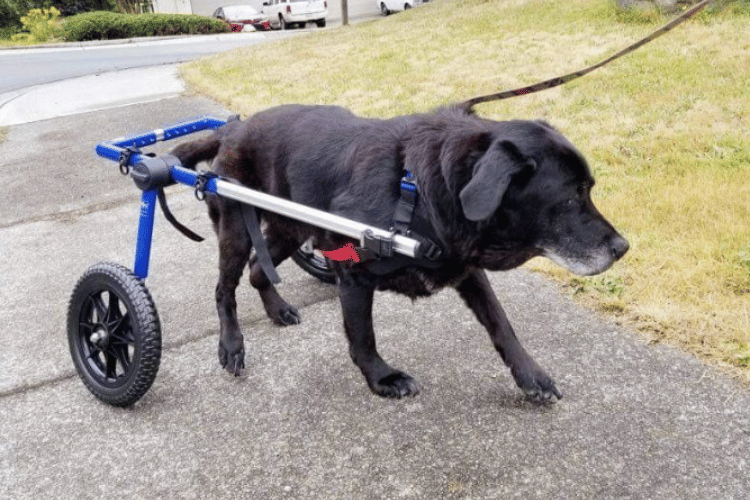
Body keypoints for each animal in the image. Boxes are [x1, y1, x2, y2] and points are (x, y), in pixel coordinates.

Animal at [170, 105, 628, 402]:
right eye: (570, 197)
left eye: (589, 189)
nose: (623, 247)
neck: (422, 193)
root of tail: (234, 128)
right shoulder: (352, 274)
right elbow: (363, 337)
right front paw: (382, 379)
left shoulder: (465, 268)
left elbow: (502, 326)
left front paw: (531, 377)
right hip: (236, 227)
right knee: (225, 287)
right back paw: (231, 345)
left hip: (290, 228)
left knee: (258, 270)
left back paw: (278, 309)